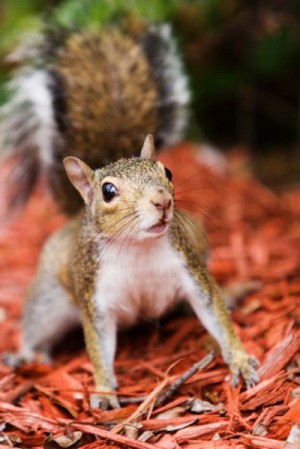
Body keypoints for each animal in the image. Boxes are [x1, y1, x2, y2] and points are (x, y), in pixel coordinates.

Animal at [1, 21, 258, 408]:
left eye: (167, 171)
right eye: (108, 192)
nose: (162, 201)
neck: (138, 249)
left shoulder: (190, 269)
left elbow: (215, 314)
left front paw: (239, 359)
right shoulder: (96, 299)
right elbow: (98, 347)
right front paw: (105, 391)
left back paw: (231, 291)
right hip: (49, 297)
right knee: (37, 325)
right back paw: (28, 355)